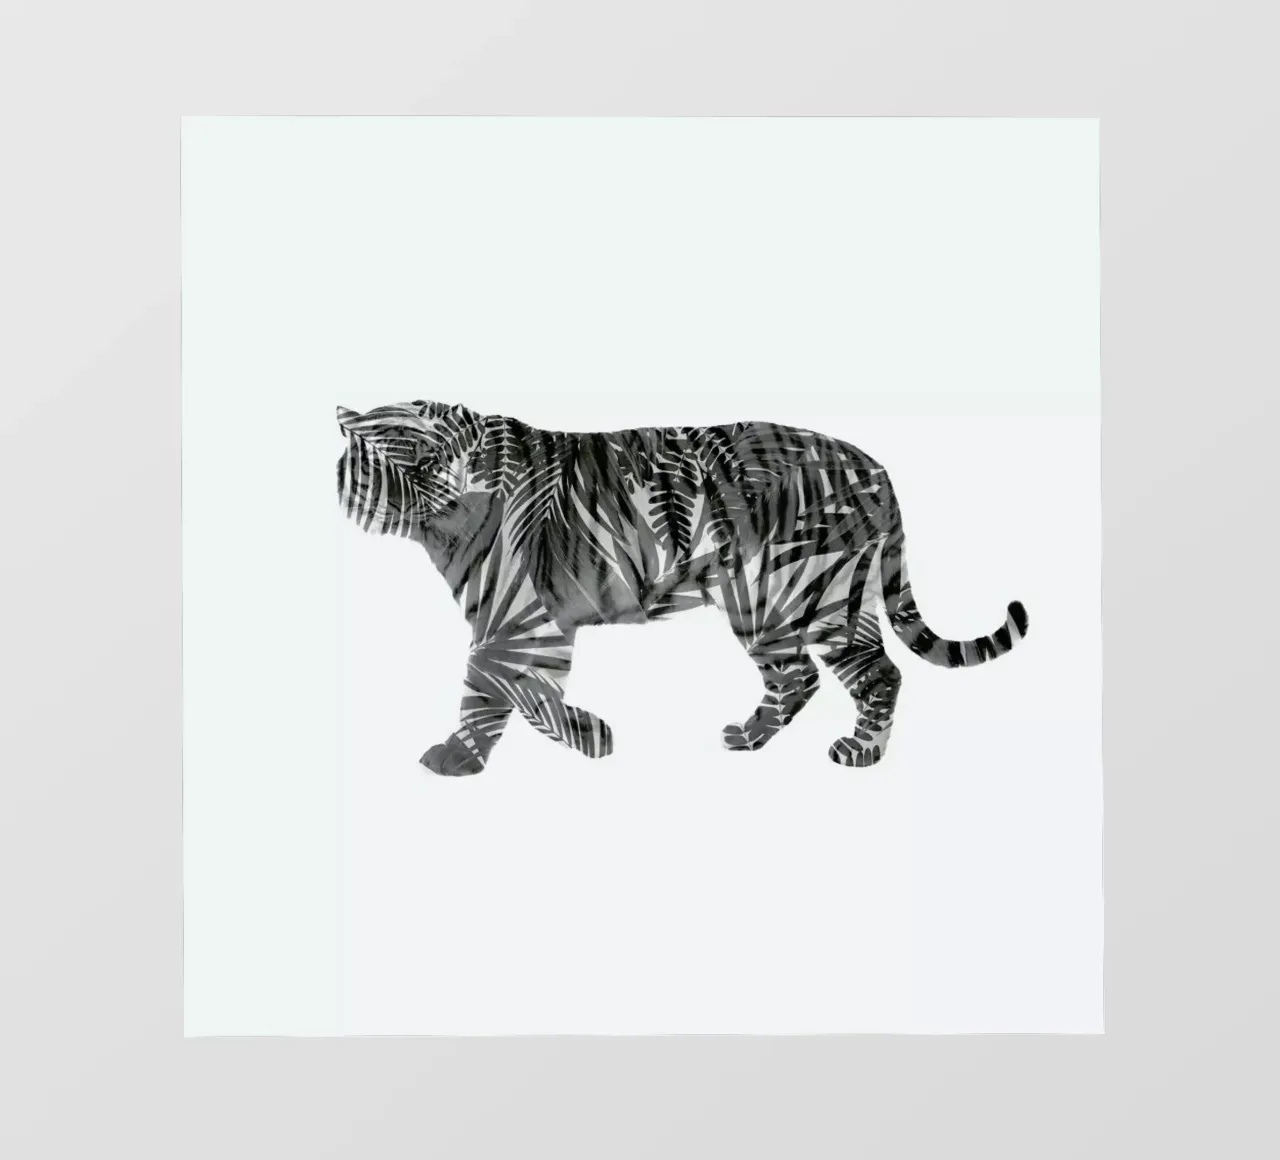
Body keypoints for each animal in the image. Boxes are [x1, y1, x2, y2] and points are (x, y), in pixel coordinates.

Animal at [336, 400, 1028, 775]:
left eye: (439, 457)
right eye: (404, 461)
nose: (446, 490)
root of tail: (875, 465)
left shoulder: (517, 617)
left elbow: (494, 688)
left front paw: (470, 758)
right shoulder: (522, 623)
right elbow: (515, 691)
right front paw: (580, 737)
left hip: (801, 594)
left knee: (867, 674)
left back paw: (858, 753)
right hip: (789, 604)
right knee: (805, 676)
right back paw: (754, 738)